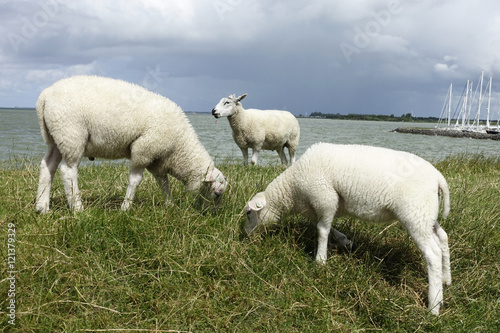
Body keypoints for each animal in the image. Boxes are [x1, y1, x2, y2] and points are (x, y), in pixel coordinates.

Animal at [36, 74, 228, 213]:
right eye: (217, 194)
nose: (211, 214)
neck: (179, 147)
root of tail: (44, 96)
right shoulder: (143, 150)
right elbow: (135, 180)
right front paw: (126, 208)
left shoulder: (157, 159)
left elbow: (163, 182)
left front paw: (170, 205)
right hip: (71, 134)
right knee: (68, 171)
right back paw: (77, 208)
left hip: (56, 137)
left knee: (48, 165)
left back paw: (42, 207)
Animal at [244, 142, 452, 314]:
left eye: (248, 213)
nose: (246, 237)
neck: (293, 190)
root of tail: (438, 178)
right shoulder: (324, 205)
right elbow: (327, 226)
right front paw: (344, 241)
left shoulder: (325, 197)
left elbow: (322, 230)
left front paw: (320, 260)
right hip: (426, 214)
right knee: (442, 237)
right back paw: (445, 280)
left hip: (415, 212)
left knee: (432, 254)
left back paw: (433, 305)